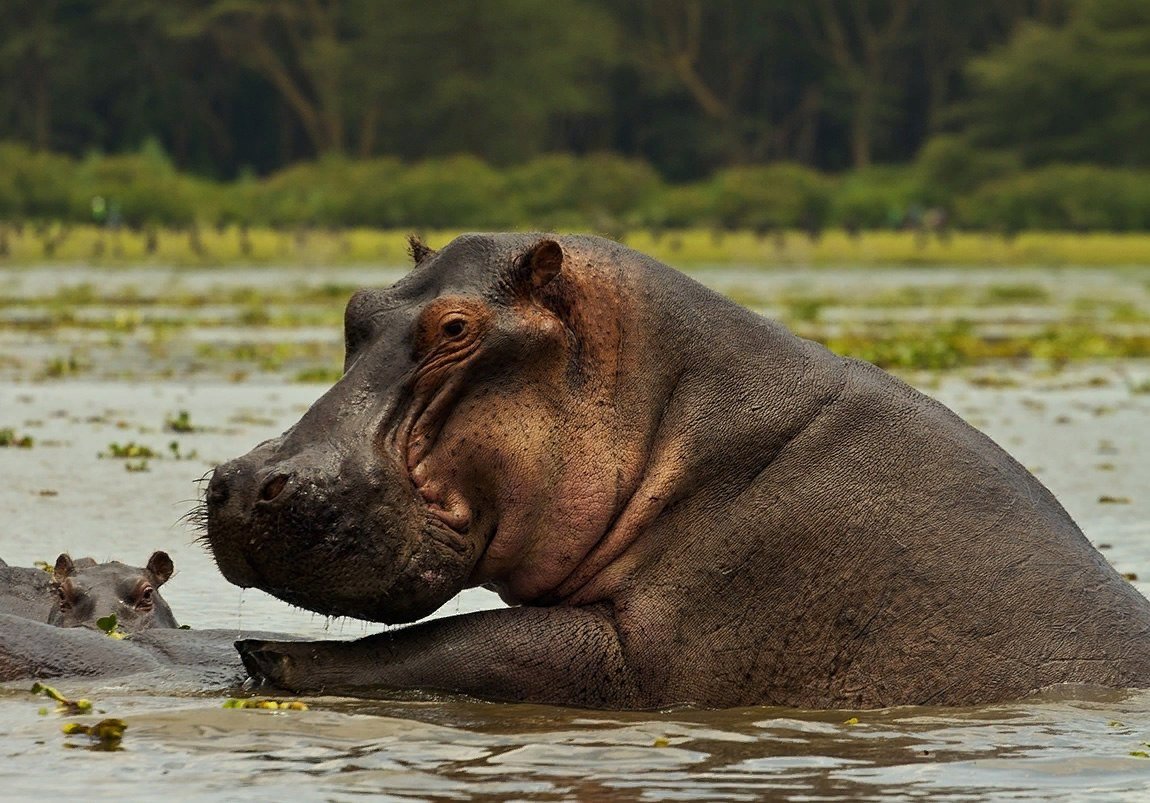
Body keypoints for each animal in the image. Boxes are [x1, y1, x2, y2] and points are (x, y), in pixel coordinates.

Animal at [204, 233, 1150, 708]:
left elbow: (459, 645)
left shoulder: (658, 644)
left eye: (456, 329)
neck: (675, 421)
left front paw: (272, 657)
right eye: (356, 307)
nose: (249, 480)